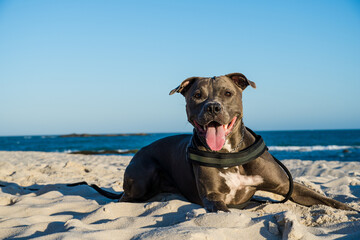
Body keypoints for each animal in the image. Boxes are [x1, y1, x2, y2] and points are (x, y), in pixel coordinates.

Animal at [117, 72, 352, 212]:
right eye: (197, 95)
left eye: (228, 93)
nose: (213, 107)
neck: (230, 153)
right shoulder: (213, 197)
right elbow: (224, 211)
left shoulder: (287, 186)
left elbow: (328, 200)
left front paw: (351, 211)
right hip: (141, 178)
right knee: (123, 198)